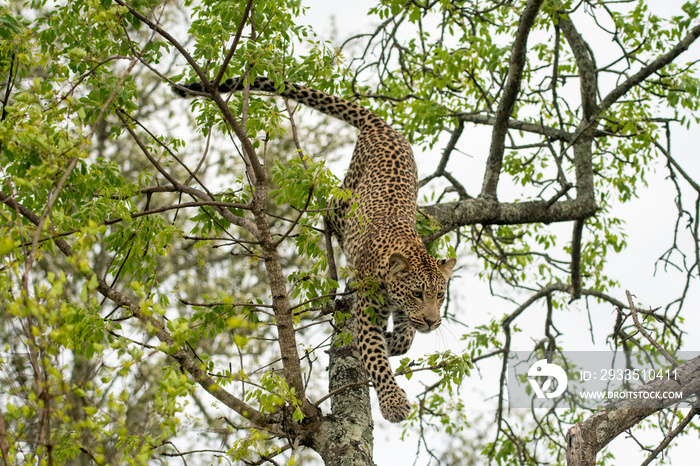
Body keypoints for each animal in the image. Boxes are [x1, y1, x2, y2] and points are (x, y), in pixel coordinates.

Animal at [174, 75, 456, 422]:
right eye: (417, 293)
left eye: (440, 295)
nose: (433, 321)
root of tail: (382, 126)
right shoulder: (368, 314)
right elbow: (376, 358)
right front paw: (392, 402)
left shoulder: (405, 313)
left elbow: (405, 339)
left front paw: (394, 340)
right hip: (345, 199)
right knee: (327, 210)